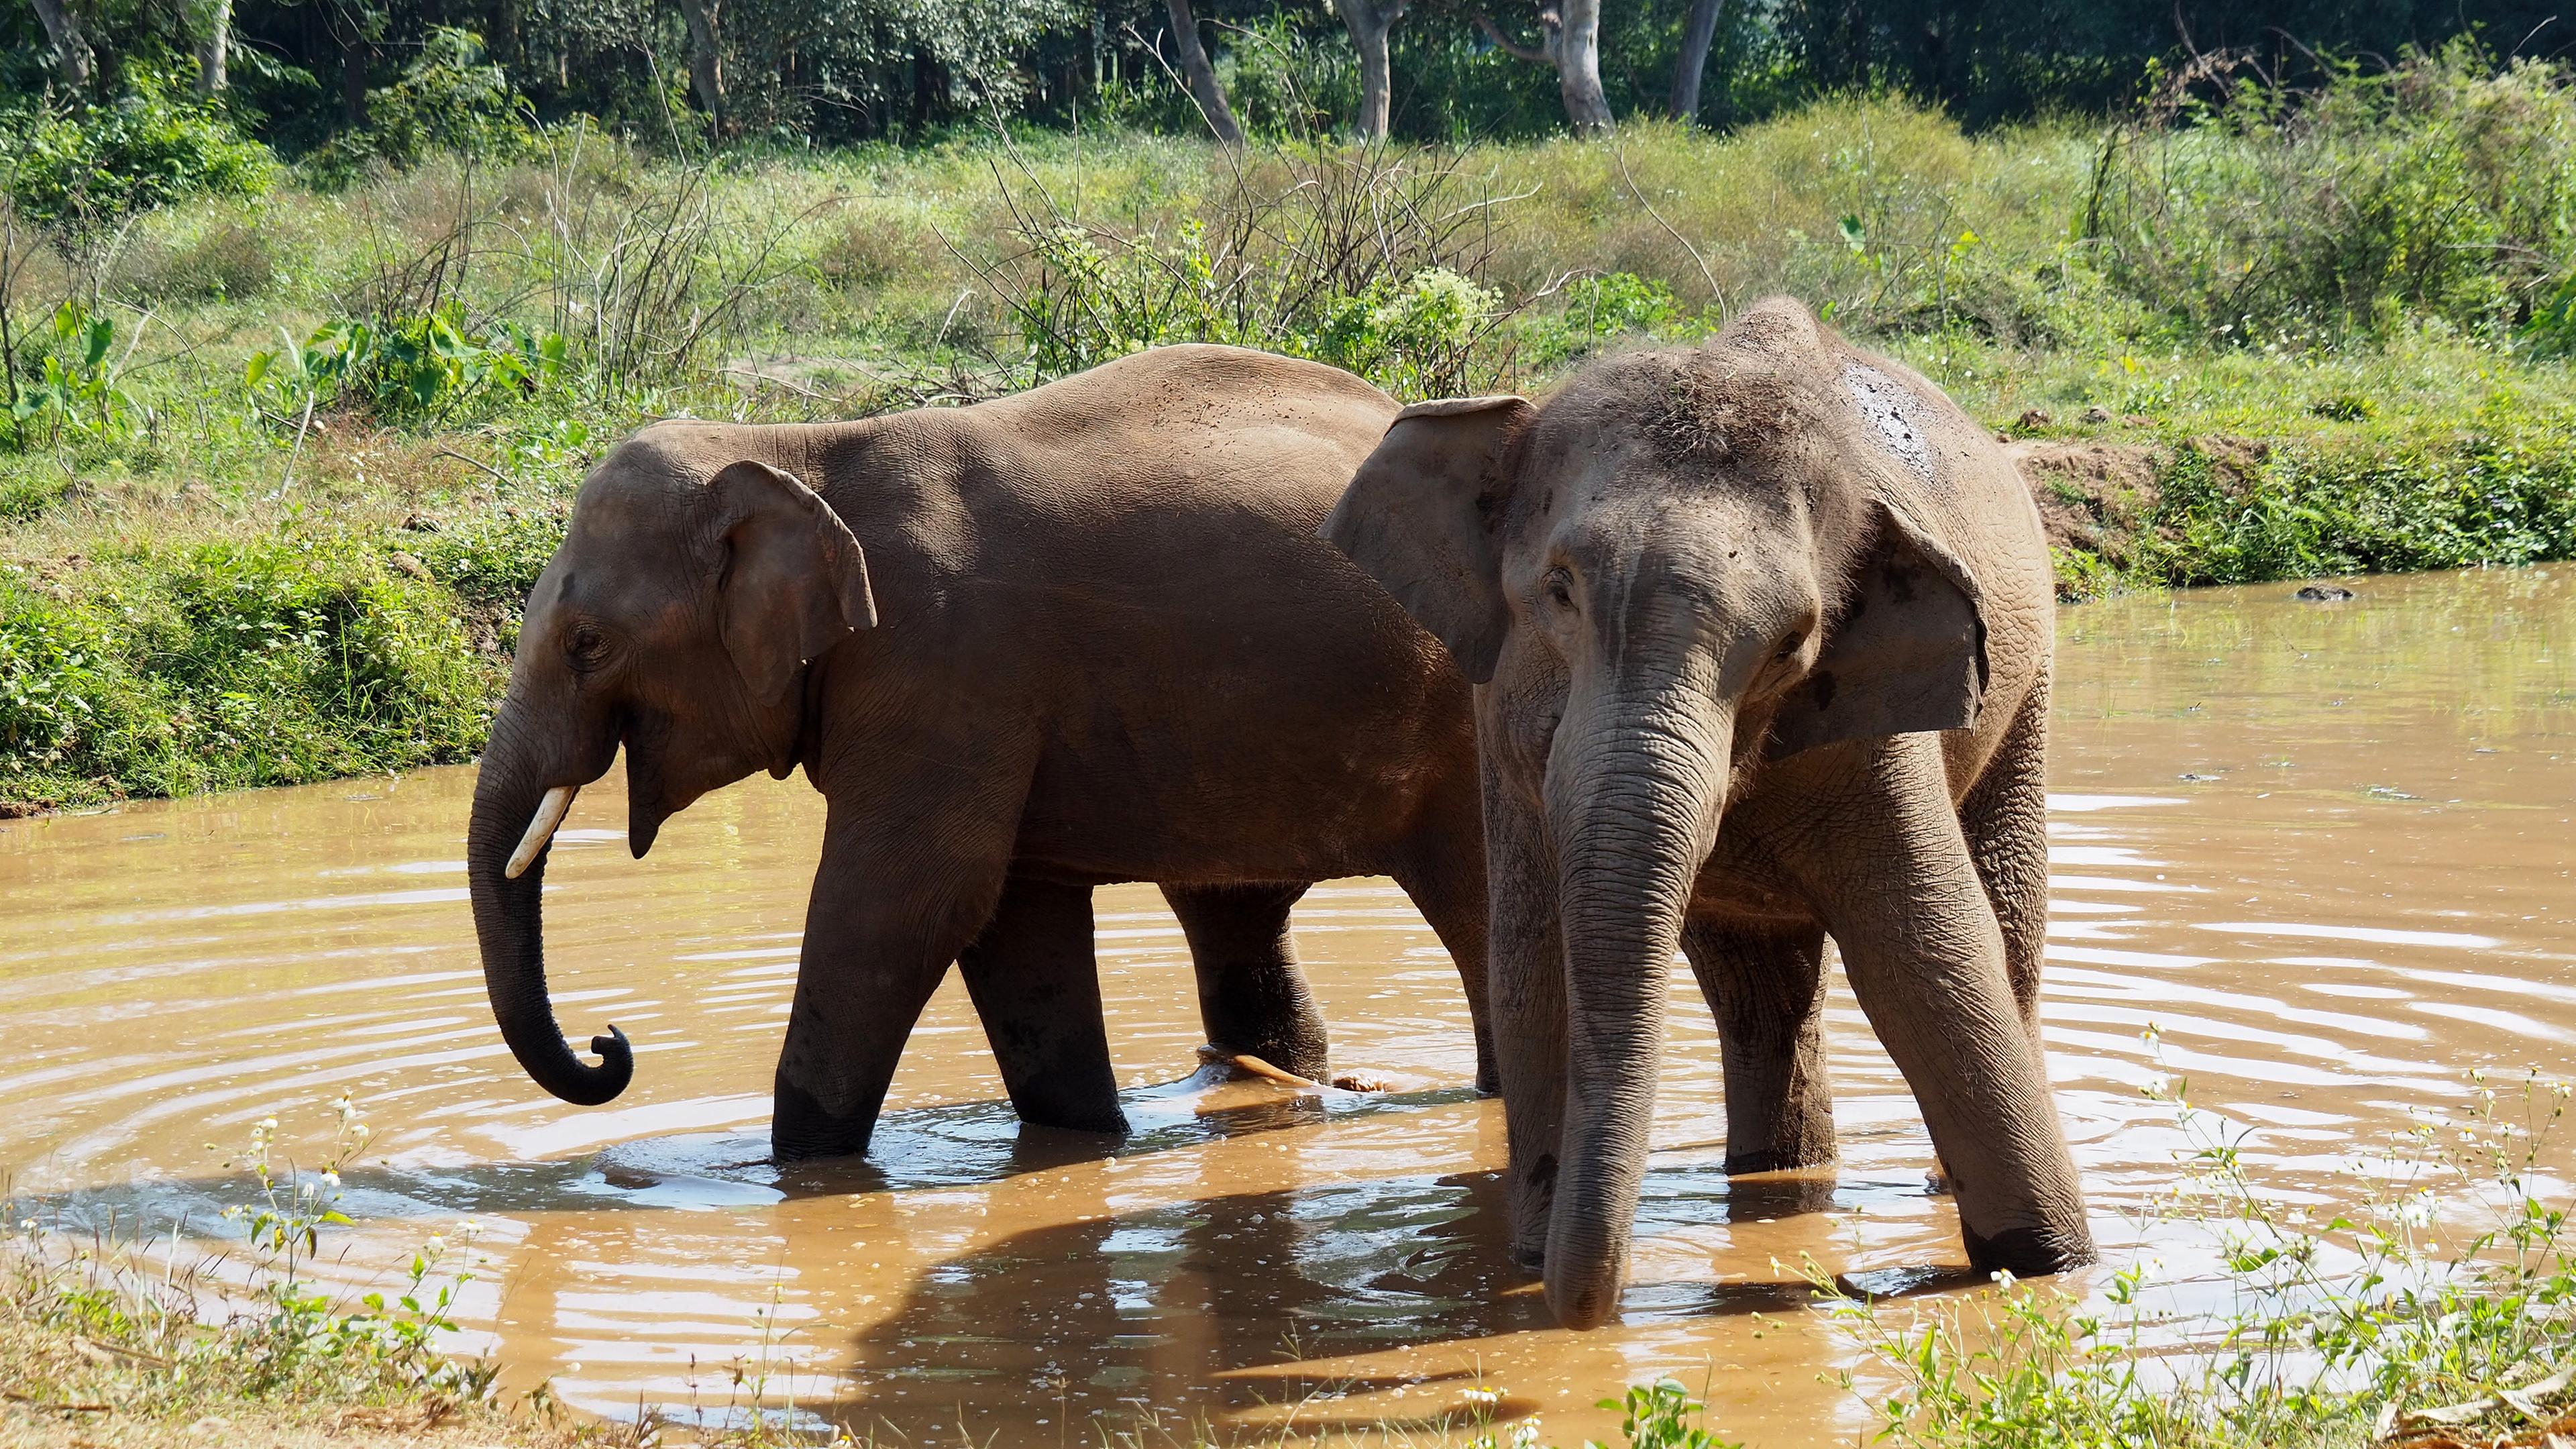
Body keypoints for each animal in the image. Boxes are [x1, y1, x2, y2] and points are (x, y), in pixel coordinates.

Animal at [474, 337, 1504, 1150]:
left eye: (588, 644)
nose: (610, 1044)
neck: (793, 450)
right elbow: (1014, 918)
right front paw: (1087, 1140)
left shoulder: (945, 661)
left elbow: (903, 904)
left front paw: (794, 1175)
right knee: (1233, 916)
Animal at [1329, 299, 2092, 1330]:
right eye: (1560, 592)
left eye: (1793, 643)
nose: (1593, 1310)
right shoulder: (1500, 727)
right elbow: (1534, 959)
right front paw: (1524, 1262)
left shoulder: (1875, 727)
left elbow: (1926, 954)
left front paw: (2050, 1265)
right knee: (1756, 992)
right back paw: (1778, 1176)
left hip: (2029, 690)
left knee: (2002, 929)